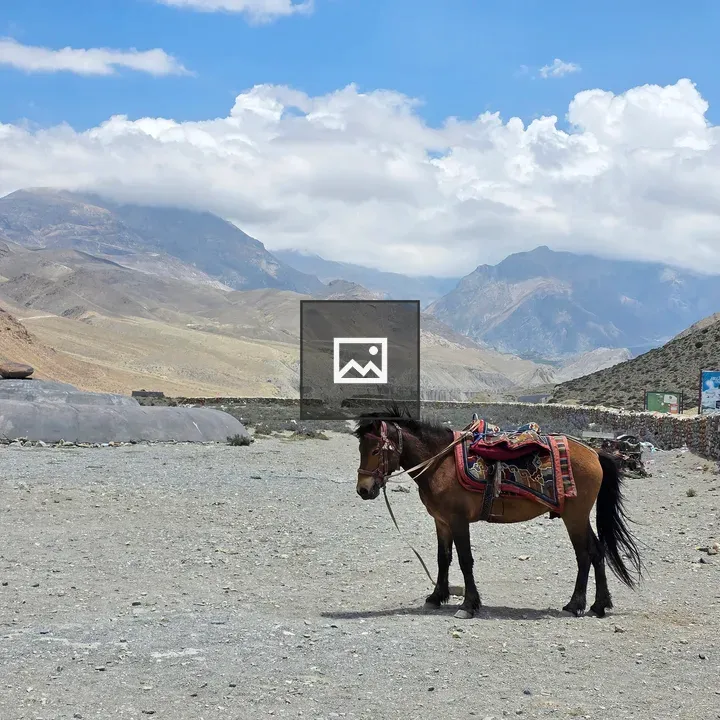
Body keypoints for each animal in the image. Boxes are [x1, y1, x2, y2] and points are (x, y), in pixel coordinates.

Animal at [354, 406, 643, 620]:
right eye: (360, 449)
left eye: (376, 450)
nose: (363, 490)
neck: (440, 462)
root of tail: (595, 453)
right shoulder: (442, 521)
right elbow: (442, 558)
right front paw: (436, 597)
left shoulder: (458, 521)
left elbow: (465, 560)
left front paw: (468, 605)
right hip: (579, 517)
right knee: (597, 551)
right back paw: (598, 605)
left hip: (575, 517)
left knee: (585, 554)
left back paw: (577, 604)